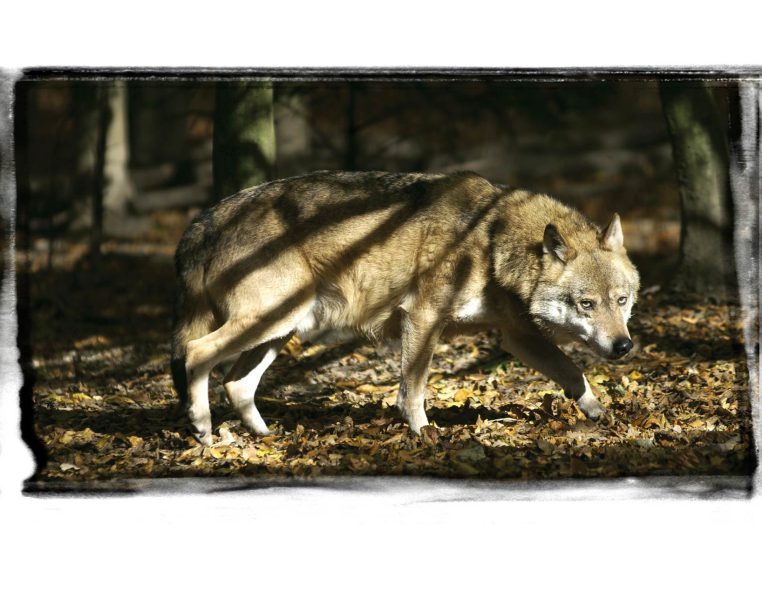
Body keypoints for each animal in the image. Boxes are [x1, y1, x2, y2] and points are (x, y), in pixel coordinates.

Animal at [171, 171, 640, 445]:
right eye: (586, 304)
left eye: (621, 300)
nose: (624, 347)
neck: (490, 239)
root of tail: (205, 218)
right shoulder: (423, 317)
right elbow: (411, 390)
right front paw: (424, 435)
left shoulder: (517, 336)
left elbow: (574, 374)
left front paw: (603, 417)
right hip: (272, 322)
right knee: (195, 354)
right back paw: (203, 430)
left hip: (282, 329)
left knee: (236, 385)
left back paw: (269, 439)